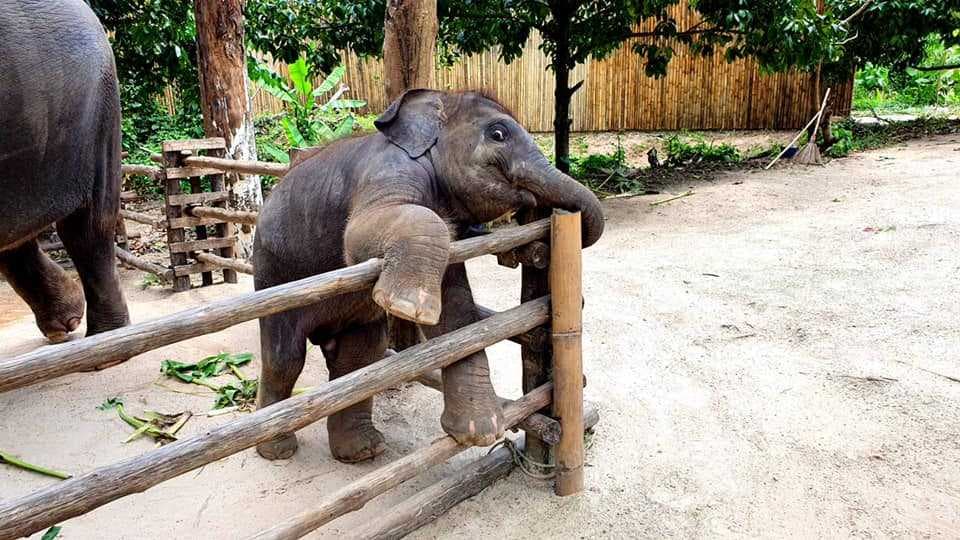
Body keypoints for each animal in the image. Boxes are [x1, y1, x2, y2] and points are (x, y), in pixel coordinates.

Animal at [253, 89, 603, 462]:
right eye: (498, 134)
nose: (532, 209)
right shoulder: (387, 172)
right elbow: (359, 236)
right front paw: (407, 306)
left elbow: (458, 314)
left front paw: (482, 433)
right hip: (272, 272)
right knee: (286, 356)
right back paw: (279, 451)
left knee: (359, 358)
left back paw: (362, 450)